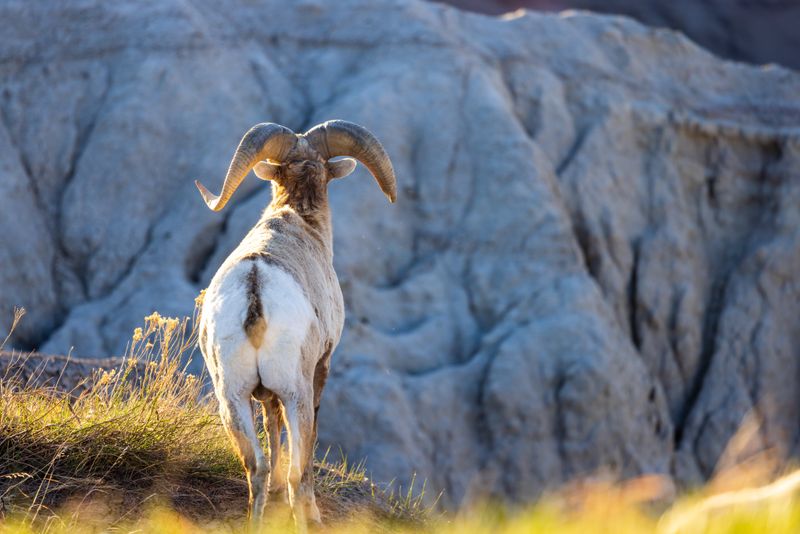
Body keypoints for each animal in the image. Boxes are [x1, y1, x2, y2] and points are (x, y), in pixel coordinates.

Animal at [197, 119, 396, 528]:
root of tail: (254, 290)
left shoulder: (263, 395)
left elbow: (271, 429)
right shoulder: (322, 366)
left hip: (231, 398)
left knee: (255, 467)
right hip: (296, 394)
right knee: (295, 470)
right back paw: (308, 517)